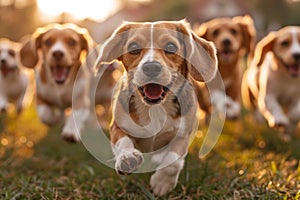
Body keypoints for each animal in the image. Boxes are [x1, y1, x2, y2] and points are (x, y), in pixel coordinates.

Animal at [94, 19, 218, 195]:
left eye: (171, 47)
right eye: (133, 47)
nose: (151, 67)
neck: (155, 108)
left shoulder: (182, 136)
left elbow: (173, 162)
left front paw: (162, 183)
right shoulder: (117, 126)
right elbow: (123, 142)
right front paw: (127, 157)